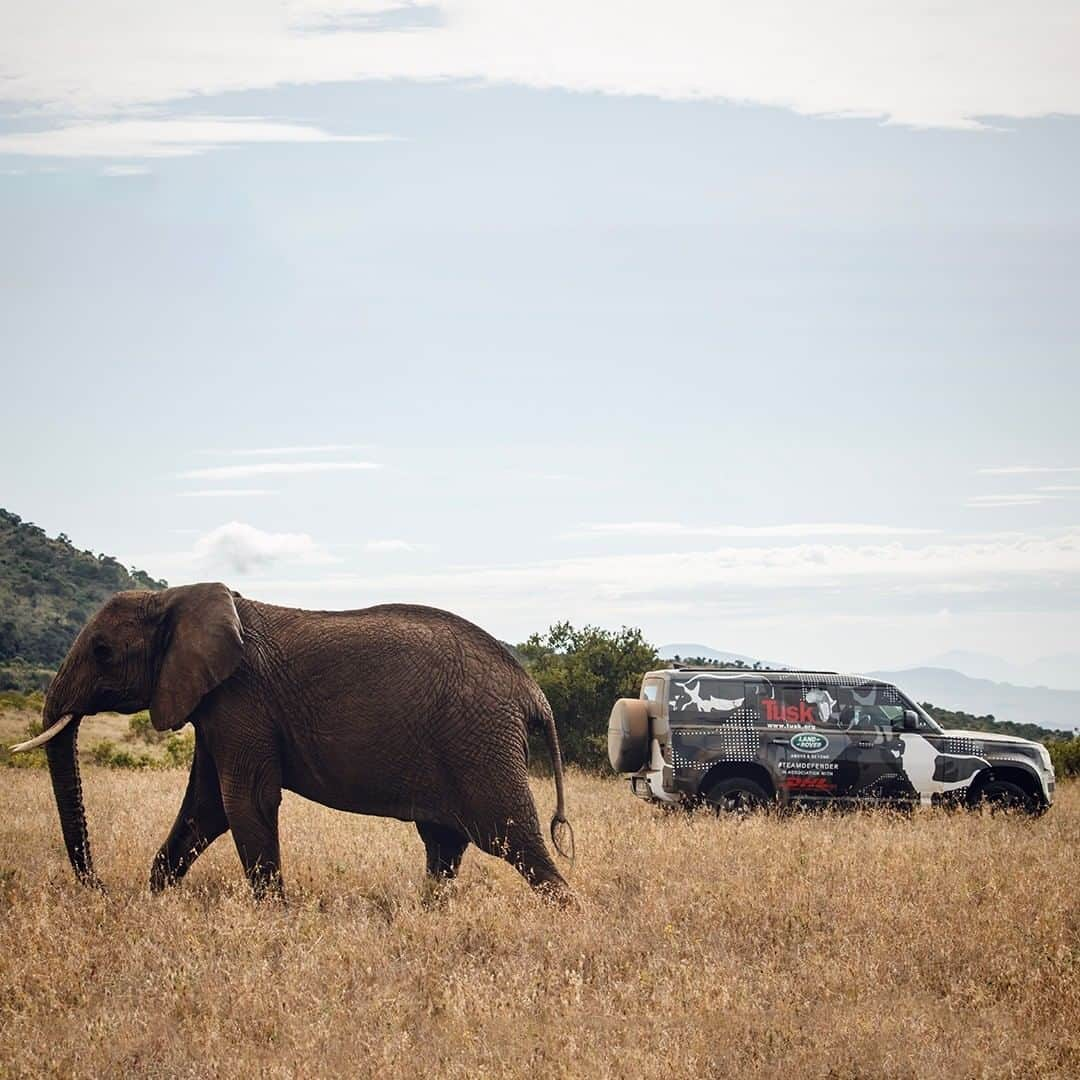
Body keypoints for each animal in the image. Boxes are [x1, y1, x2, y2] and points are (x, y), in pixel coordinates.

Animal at [14, 587, 574, 898]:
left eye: (102, 651)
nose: (101, 888)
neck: (177, 598)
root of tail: (533, 691)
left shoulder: (241, 699)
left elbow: (244, 802)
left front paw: (273, 918)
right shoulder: (215, 707)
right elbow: (206, 808)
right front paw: (153, 901)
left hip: (480, 743)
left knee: (514, 840)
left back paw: (565, 920)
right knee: (444, 844)